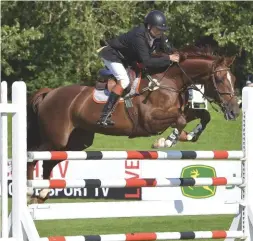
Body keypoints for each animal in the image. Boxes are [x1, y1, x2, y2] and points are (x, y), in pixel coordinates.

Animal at [26, 46, 240, 203]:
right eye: (219, 79)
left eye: (234, 79)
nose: (234, 111)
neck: (170, 81)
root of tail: (50, 93)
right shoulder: (150, 120)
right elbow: (178, 121)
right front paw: (166, 141)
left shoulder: (180, 112)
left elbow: (203, 116)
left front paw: (188, 135)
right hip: (56, 139)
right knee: (34, 155)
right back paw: (29, 189)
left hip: (77, 142)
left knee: (50, 161)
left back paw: (42, 193)